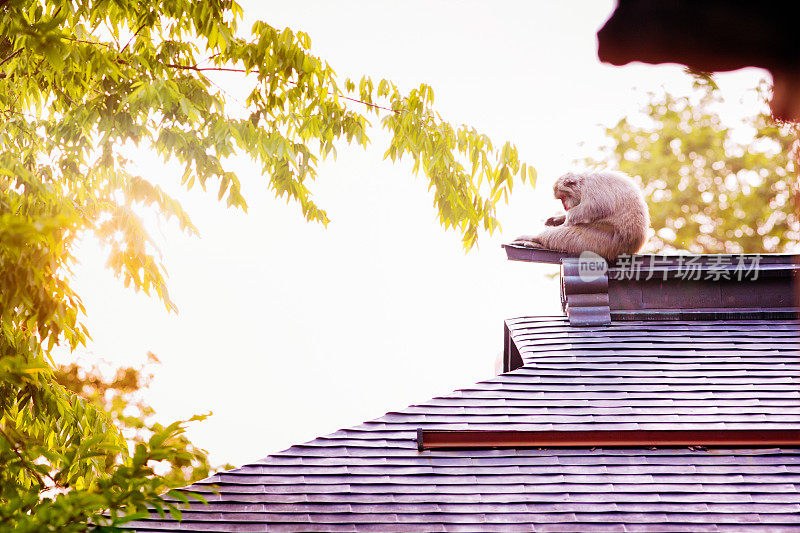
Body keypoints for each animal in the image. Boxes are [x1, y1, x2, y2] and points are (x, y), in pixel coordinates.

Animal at [512, 170, 648, 260]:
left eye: (562, 197)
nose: (564, 206)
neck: (582, 185)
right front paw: (558, 219)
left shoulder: (592, 185)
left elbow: (599, 206)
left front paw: (567, 219)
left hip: (603, 242)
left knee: (565, 235)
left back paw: (535, 239)